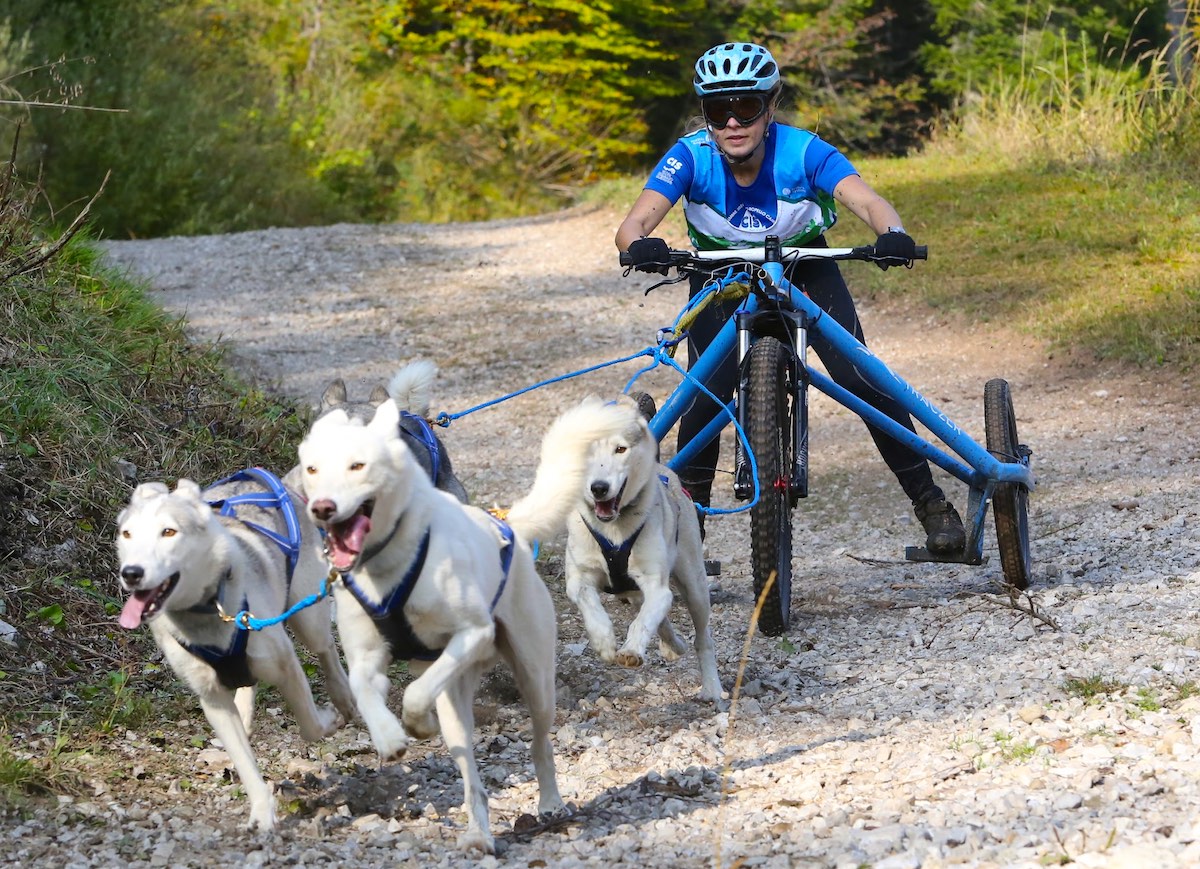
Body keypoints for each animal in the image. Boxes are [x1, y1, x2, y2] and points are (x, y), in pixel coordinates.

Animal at [116, 472, 355, 830]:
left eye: (168, 532)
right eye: (127, 534)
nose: (131, 573)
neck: (208, 608)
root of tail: (282, 483)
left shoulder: (287, 666)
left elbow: (311, 726)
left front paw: (327, 720)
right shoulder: (211, 697)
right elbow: (243, 761)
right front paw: (262, 810)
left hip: (307, 616)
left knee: (326, 649)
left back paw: (343, 696)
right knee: (247, 687)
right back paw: (245, 710)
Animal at [295, 396, 633, 849]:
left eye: (357, 466)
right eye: (313, 470)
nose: (322, 508)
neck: (390, 569)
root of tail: (507, 524)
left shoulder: (472, 632)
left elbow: (415, 693)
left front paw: (417, 724)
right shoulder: (365, 660)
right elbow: (365, 693)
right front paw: (389, 736)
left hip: (535, 680)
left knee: (541, 745)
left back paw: (549, 803)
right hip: (459, 712)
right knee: (472, 778)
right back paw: (478, 832)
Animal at [535, 396, 720, 700]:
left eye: (620, 449)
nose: (599, 487)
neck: (614, 530)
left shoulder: (656, 583)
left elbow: (644, 620)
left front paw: (631, 649)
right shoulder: (579, 579)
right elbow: (593, 609)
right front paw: (604, 642)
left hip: (694, 586)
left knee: (701, 637)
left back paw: (712, 687)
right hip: (635, 594)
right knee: (660, 618)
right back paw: (673, 645)